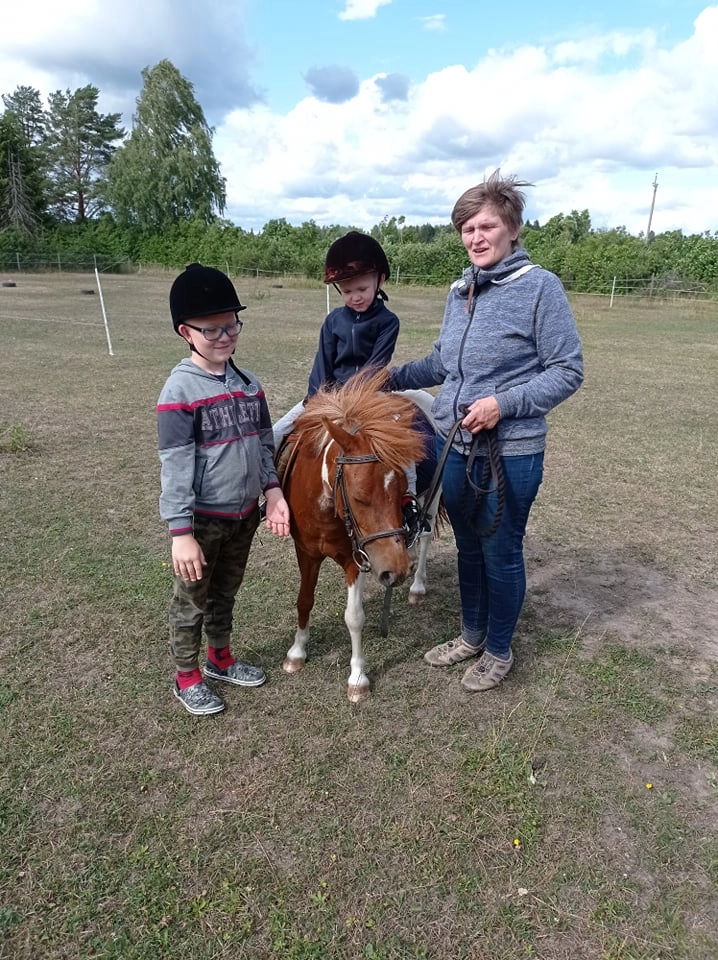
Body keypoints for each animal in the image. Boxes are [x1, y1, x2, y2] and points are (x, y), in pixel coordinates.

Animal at [277, 369, 441, 702]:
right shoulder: (307, 552)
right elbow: (304, 600)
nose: (395, 570)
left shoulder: (357, 561)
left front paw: (358, 678)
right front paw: (297, 653)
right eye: (358, 496)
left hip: (435, 496)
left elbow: (354, 617)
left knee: (426, 538)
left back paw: (417, 586)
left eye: (401, 487)